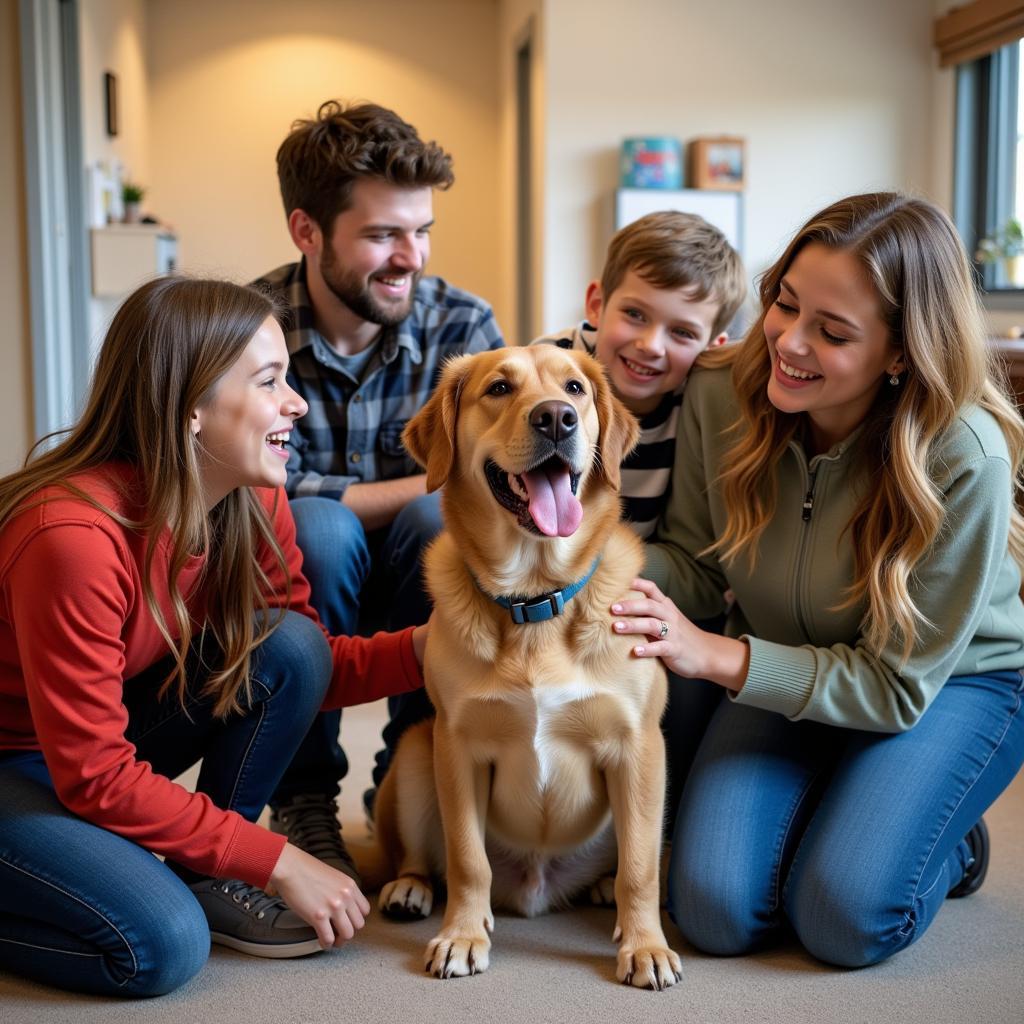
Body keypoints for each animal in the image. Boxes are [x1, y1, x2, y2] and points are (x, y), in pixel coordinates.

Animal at [368, 346, 679, 991]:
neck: (536, 598)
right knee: (424, 857)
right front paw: (462, 935)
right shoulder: (456, 746)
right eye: (499, 388)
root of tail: (536, 887)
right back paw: (410, 888)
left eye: (575, 387)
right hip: (415, 754)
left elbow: (640, 868)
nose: (556, 418)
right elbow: (467, 859)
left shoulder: (639, 746)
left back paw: (602, 892)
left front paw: (646, 946)